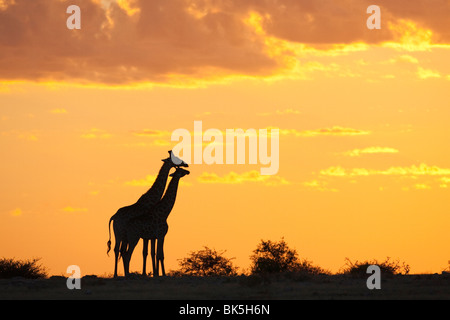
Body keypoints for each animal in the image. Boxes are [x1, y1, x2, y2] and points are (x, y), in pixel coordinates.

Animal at [107, 150, 188, 278]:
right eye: (175, 158)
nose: (186, 165)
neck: (152, 200)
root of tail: (114, 217)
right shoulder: (151, 233)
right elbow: (150, 252)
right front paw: (152, 273)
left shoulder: (148, 235)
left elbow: (148, 252)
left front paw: (149, 273)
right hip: (122, 234)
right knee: (120, 251)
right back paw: (121, 274)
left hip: (121, 235)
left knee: (119, 250)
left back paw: (121, 274)